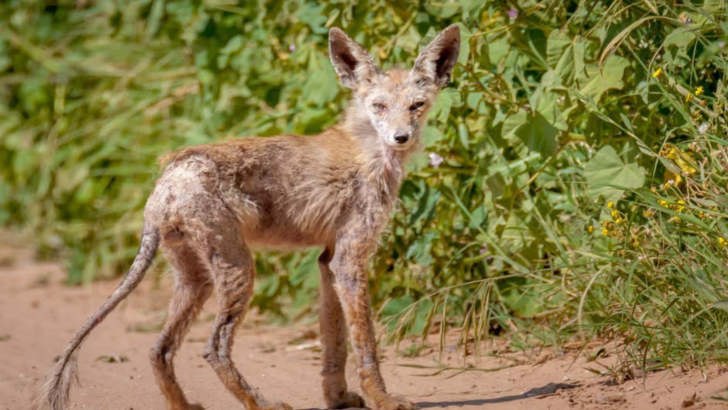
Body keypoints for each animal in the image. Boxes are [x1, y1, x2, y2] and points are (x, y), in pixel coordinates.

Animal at [34, 25, 461, 410]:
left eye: (416, 106)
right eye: (379, 107)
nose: (401, 138)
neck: (368, 150)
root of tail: (170, 176)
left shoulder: (328, 261)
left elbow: (334, 345)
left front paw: (338, 399)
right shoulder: (350, 259)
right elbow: (365, 343)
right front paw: (382, 399)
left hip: (197, 281)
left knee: (159, 349)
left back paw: (184, 405)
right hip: (240, 268)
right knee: (213, 348)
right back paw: (261, 404)